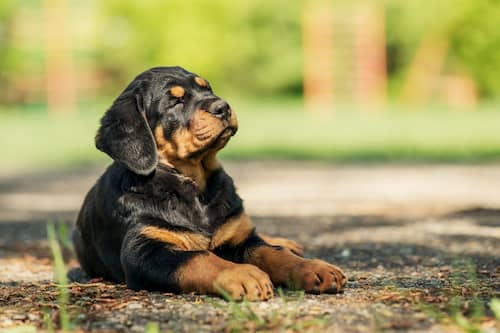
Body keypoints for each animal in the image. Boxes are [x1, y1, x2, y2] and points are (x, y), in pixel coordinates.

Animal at [73, 66, 348, 300]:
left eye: (207, 88)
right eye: (175, 101)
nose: (223, 107)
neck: (195, 187)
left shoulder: (238, 238)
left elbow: (271, 252)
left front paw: (312, 267)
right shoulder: (142, 250)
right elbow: (198, 258)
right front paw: (241, 273)